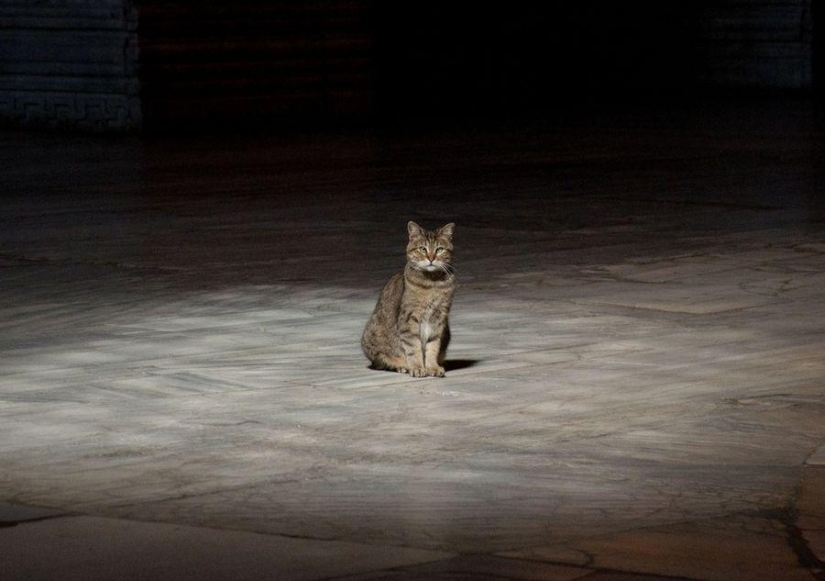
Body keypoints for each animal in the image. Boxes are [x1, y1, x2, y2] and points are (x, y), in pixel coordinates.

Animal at [364, 221, 458, 376]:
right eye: (422, 249)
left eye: (439, 249)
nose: (431, 258)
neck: (432, 283)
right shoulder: (409, 319)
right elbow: (414, 347)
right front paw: (418, 367)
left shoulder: (438, 319)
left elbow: (433, 346)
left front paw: (432, 367)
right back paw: (402, 366)